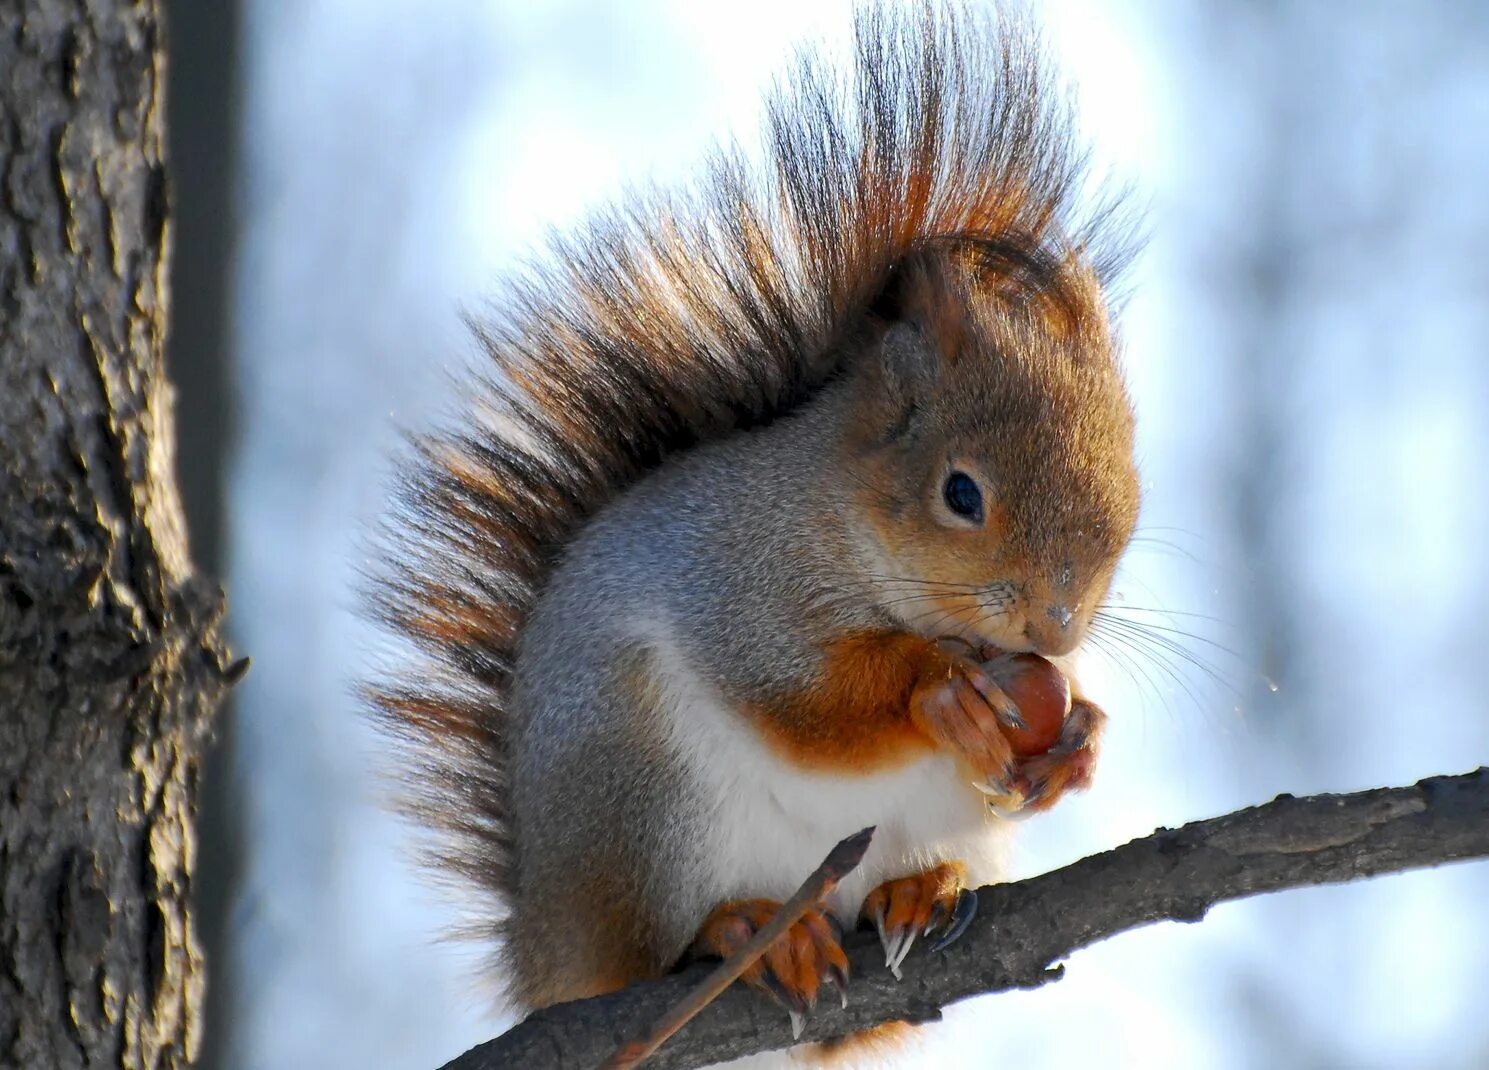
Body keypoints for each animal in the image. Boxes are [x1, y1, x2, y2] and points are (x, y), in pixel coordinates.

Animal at [372, 4, 1137, 1065]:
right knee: (662, 943)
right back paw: (745, 934)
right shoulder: (735, 581)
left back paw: (920, 893)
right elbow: (799, 696)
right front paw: (940, 693)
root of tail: (545, 950)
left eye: (1130, 485)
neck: (842, 519)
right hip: (642, 791)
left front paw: (1079, 737)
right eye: (960, 493)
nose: (1054, 631)